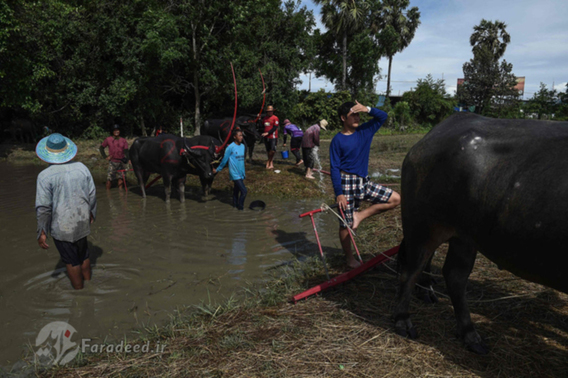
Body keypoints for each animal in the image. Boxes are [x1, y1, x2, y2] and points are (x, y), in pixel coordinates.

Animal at [392, 112, 568, 354]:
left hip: (464, 236)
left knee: (454, 275)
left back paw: (469, 333)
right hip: (423, 227)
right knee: (410, 271)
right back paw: (403, 320)